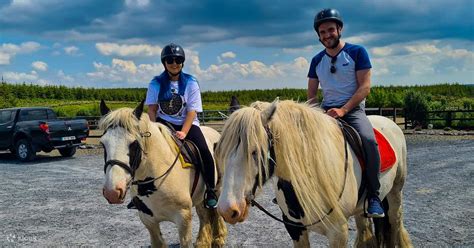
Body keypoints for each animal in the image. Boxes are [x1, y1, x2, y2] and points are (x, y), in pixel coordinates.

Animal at [98, 101, 228, 248]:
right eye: (103, 143)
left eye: (134, 143)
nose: (112, 192)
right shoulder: (148, 219)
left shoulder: (183, 218)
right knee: (203, 214)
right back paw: (202, 242)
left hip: (218, 188)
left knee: (215, 210)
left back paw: (219, 239)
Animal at [215, 99, 412, 248]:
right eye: (221, 151)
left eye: (255, 151)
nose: (227, 210)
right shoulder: (295, 230)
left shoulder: (338, 233)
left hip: (396, 191)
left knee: (395, 220)